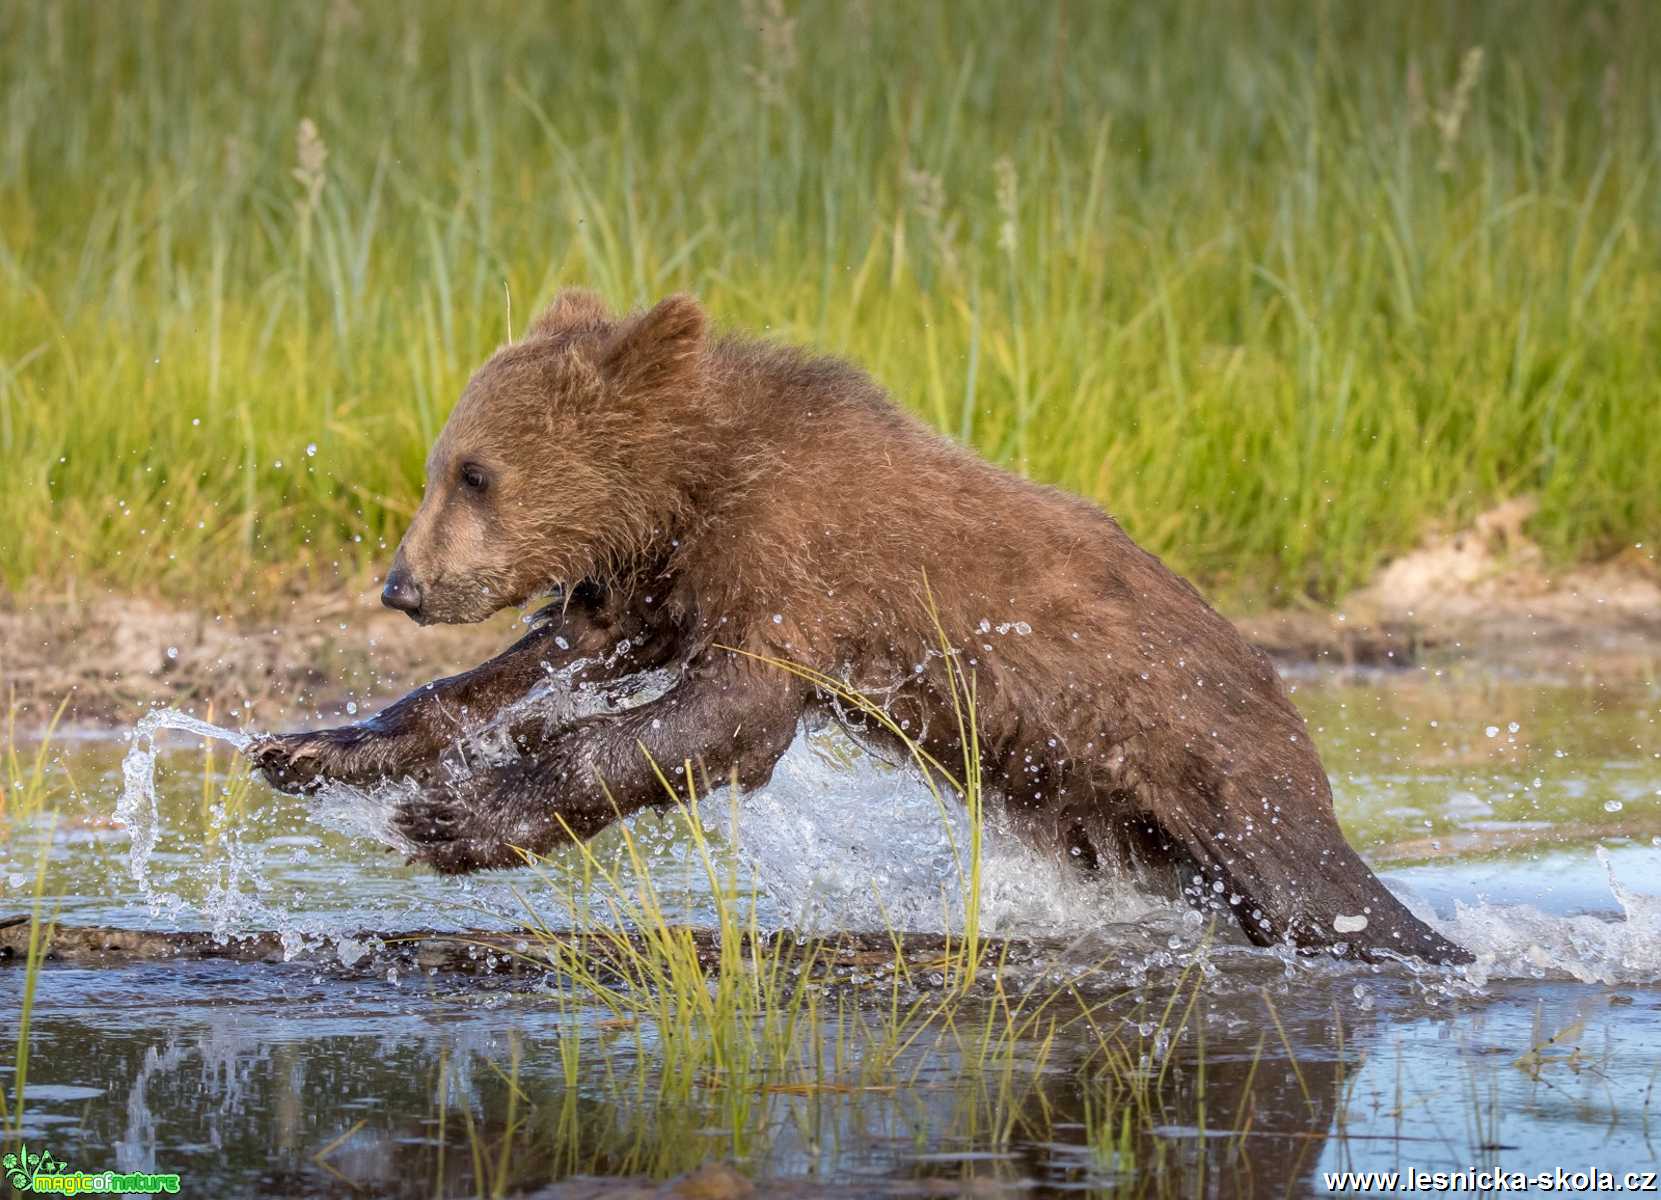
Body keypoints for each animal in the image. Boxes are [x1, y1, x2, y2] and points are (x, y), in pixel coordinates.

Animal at [245, 289, 1468, 963]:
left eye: (475, 474)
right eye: (442, 464)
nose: (401, 585)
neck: (689, 488)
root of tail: (1286, 706)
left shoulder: (791, 566)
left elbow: (720, 721)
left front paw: (457, 819)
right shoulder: (653, 592)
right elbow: (526, 671)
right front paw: (313, 748)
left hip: (1216, 764)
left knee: (1319, 895)